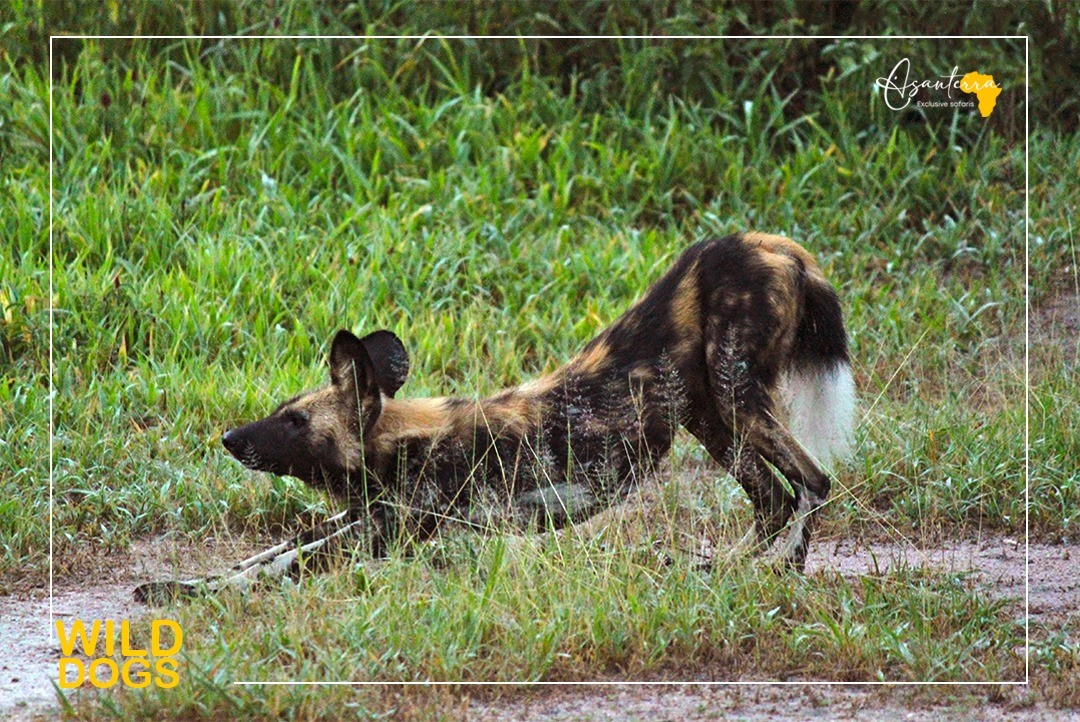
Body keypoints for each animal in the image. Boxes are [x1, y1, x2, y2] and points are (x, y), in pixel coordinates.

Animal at [135, 232, 855, 604]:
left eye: (293, 422)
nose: (230, 437)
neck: (400, 443)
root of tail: (773, 245)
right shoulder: (361, 517)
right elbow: (265, 553)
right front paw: (176, 587)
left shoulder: (386, 531)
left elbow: (277, 566)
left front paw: (201, 596)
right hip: (709, 418)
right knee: (771, 499)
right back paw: (720, 570)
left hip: (736, 396)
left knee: (812, 482)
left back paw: (779, 574)